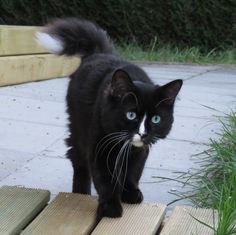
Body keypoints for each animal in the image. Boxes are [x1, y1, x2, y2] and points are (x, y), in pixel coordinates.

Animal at [37, 18, 183, 220]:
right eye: (131, 115)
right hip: (78, 125)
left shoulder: (139, 151)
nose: (143, 134)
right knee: (77, 156)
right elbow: (105, 179)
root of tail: (100, 52)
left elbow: (133, 172)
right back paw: (80, 191)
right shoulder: (100, 146)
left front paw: (131, 193)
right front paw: (110, 207)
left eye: (155, 119)